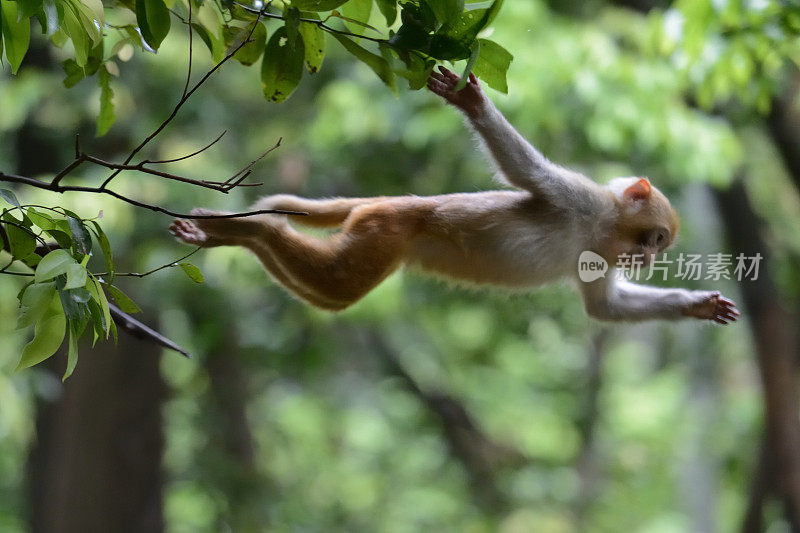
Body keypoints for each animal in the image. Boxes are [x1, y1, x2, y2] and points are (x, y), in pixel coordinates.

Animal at [169, 66, 736, 324]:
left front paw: (698, 304)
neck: (601, 227)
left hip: (377, 230)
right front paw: (473, 104)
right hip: (385, 229)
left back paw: (230, 235)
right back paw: (257, 227)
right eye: (655, 239)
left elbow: (606, 307)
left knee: (333, 292)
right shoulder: (577, 197)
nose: (649, 259)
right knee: (339, 282)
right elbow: (526, 171)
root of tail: (398, 204)